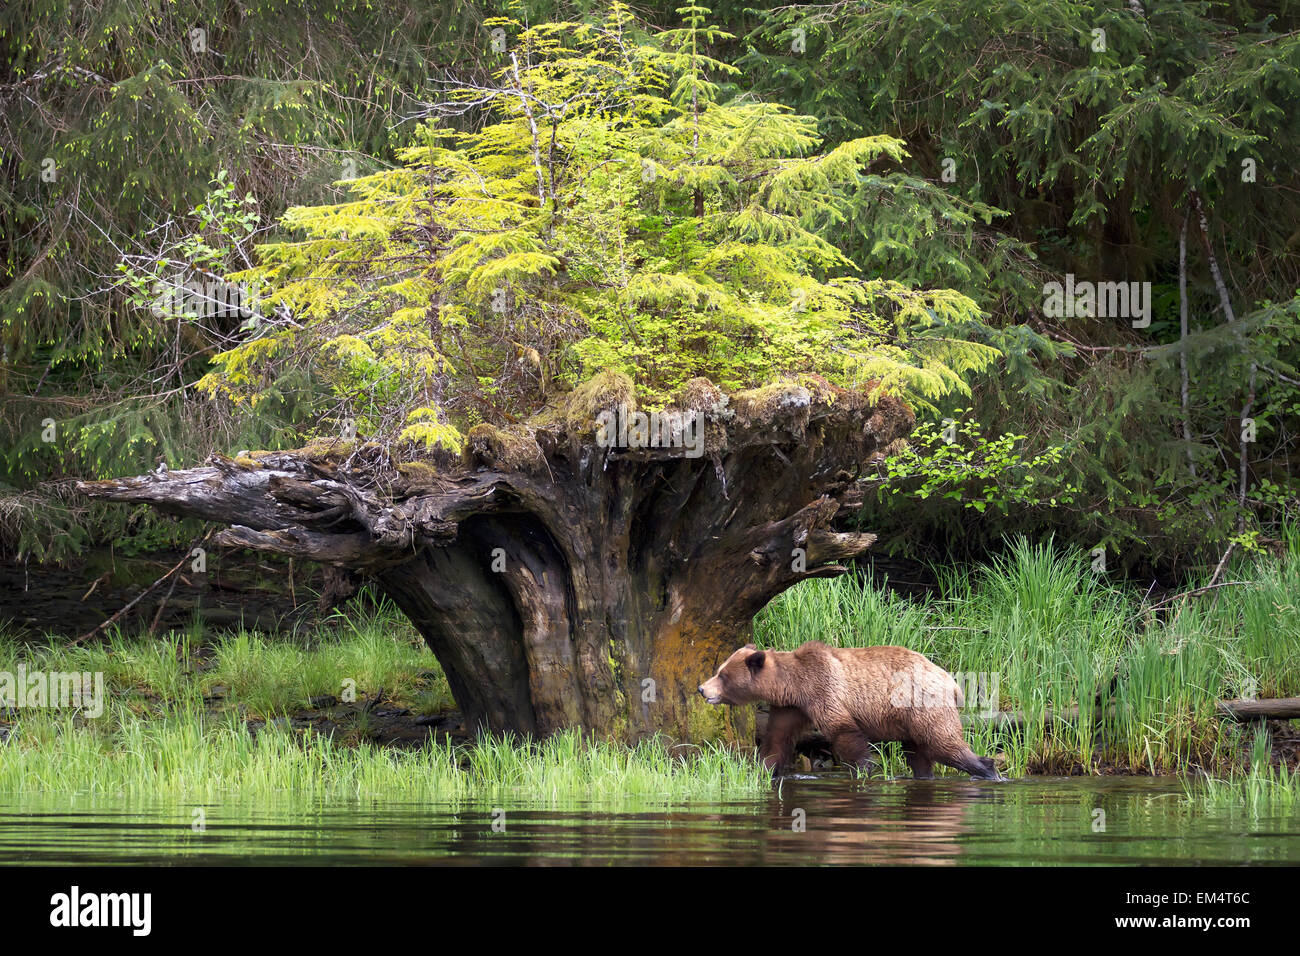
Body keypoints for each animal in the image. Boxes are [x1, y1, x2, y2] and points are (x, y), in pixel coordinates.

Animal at [696, 639, 998, 780]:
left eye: (722, 675)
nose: (702, 689)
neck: (794, 685)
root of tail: (951, 680)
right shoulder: (790, 707)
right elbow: (777, 740)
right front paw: (762, 769)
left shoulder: (823, 690)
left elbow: (844, 732)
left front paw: (864, 769)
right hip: (912, 719)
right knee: (919, 754)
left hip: (923, 704)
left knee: (944, 742)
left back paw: (987, 769)